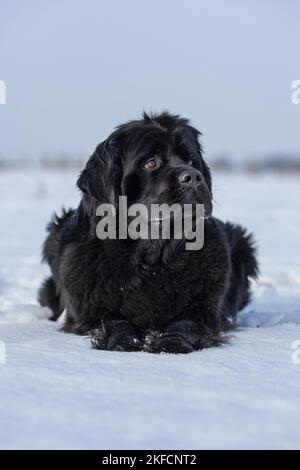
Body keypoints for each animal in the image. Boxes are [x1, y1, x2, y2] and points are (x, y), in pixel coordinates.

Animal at [39, 113, 258, 352]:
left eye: (191, 161)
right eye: (151, 163)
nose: (193, 177)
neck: (154, 257)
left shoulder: (205, 309)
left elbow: (187, 323)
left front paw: (172, 342)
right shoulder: (91, 311)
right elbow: (114, 322)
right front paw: (126, 342)